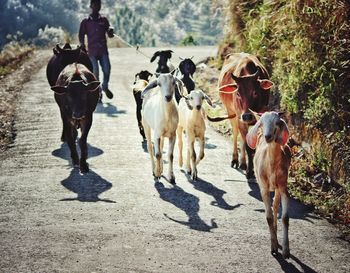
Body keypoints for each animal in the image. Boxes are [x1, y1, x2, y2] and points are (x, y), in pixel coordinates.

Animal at [246, 110, 292, 258]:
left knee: (275, 207)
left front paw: (286, 250)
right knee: (272, 209)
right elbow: (269, 217)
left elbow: (285, 218)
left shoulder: (283, 187)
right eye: (262, 123)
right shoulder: (264, 188)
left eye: (277, 122)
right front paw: (273, 247)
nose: (268, 136)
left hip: (277, 188)